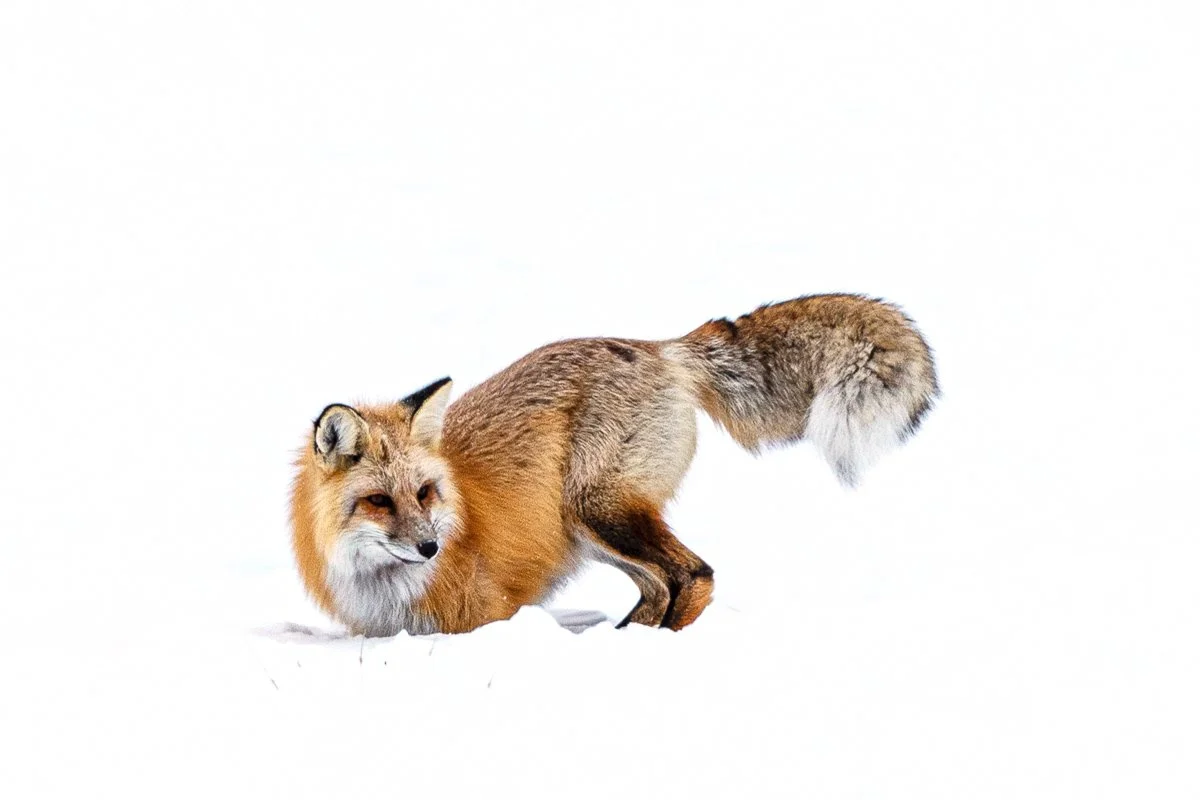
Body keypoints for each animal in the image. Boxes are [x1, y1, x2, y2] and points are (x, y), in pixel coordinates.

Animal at [290, 293, 938, 636]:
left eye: (425, 492)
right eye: (379, 500)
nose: (429, 547)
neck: (386, 589)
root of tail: (660, 347)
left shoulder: (485, 615)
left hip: (596, 509)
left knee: (695, 575)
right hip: (587, 530)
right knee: (660, 585)